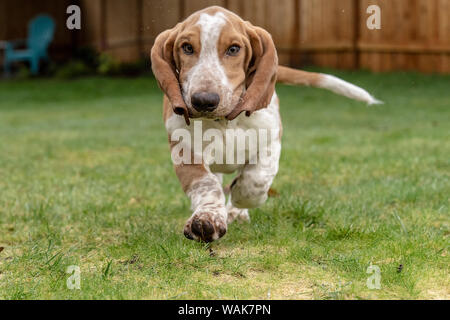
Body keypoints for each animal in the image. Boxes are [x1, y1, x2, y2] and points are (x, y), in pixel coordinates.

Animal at [151, 5, 380, 242]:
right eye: (187, 48)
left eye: (234, 49)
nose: (204, 101)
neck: (225, 123)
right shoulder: (186, 151)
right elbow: (207, 185)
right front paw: (207, 219)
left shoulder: (271, 142)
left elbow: (254, 181)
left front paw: (237, 202)